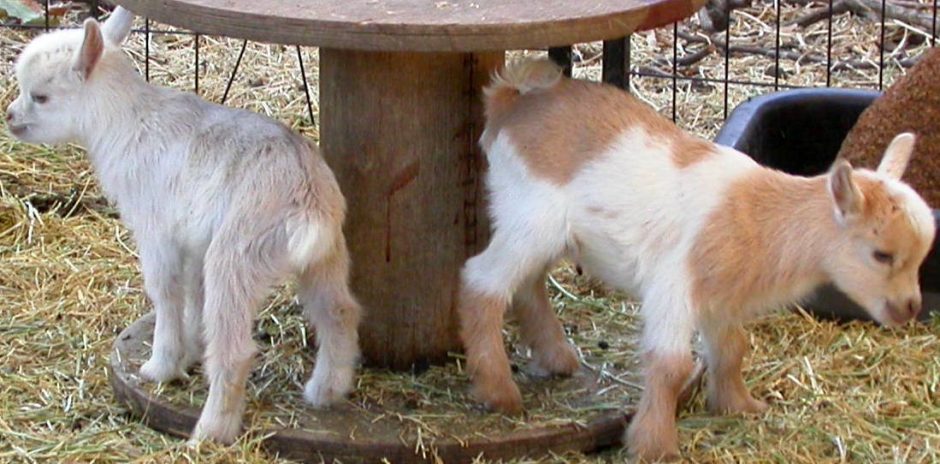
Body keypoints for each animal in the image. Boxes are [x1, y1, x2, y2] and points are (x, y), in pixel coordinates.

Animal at [5, 8, 361, 444]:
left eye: (40, 96)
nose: (10, 117)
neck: (126, 122)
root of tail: (307, 202)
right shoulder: (192, 239)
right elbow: (193, 293)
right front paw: (189, 350)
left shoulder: (156, 229)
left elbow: (166, 292)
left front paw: (161, 366)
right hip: (325, 256)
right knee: (340, 311)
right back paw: (325, 391)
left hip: (237, 253)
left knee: (235, 350)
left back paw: (209, 433)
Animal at [457, 59, 935, 461]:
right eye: (882, 254)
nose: (909, 307)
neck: (756, 216)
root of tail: (510, 101)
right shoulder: (674, 287)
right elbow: (671, 366)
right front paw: (656, 446)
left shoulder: (721, 298)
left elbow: (732, 348)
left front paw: (740, 405)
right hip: (531, 218)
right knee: (482, 282)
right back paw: (499, 392)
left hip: (539, 231)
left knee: (527, 282)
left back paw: (556, 359)